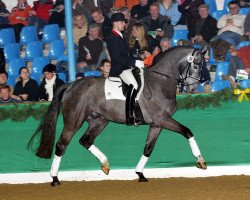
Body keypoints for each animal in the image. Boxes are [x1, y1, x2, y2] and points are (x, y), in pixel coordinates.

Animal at [28, 45, 207, 186]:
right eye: (196, 65)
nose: (193, 89)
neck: (160, 81)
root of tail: (71, 85)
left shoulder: (156, 124)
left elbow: (148, 148)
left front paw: (140, 174)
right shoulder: (163, 119)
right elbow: (187, 131)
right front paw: (200, 160)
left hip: (99, 121)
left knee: (85, 141)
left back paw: (105, 164)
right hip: (74, 121)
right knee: (61, 145)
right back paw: (55, 178)